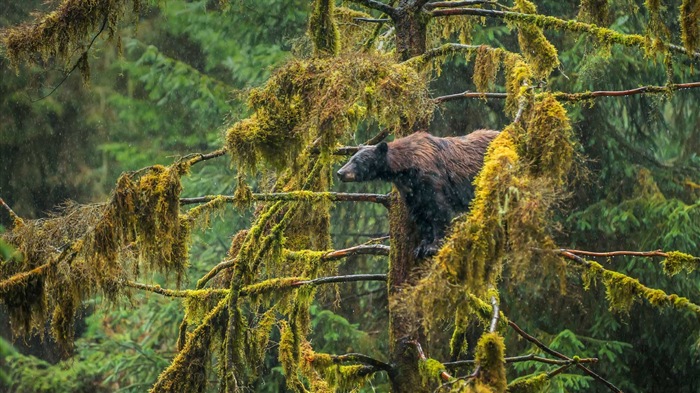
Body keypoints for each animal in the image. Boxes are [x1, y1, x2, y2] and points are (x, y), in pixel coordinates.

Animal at [338, 129, 498, 258]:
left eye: (358, 161)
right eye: (350, 158)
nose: (340, 173)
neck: (406, 168)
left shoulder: (431, 179)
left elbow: (438, 210)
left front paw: (433, 246)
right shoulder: (411, 192)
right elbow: (420, 216)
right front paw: (421, 247)